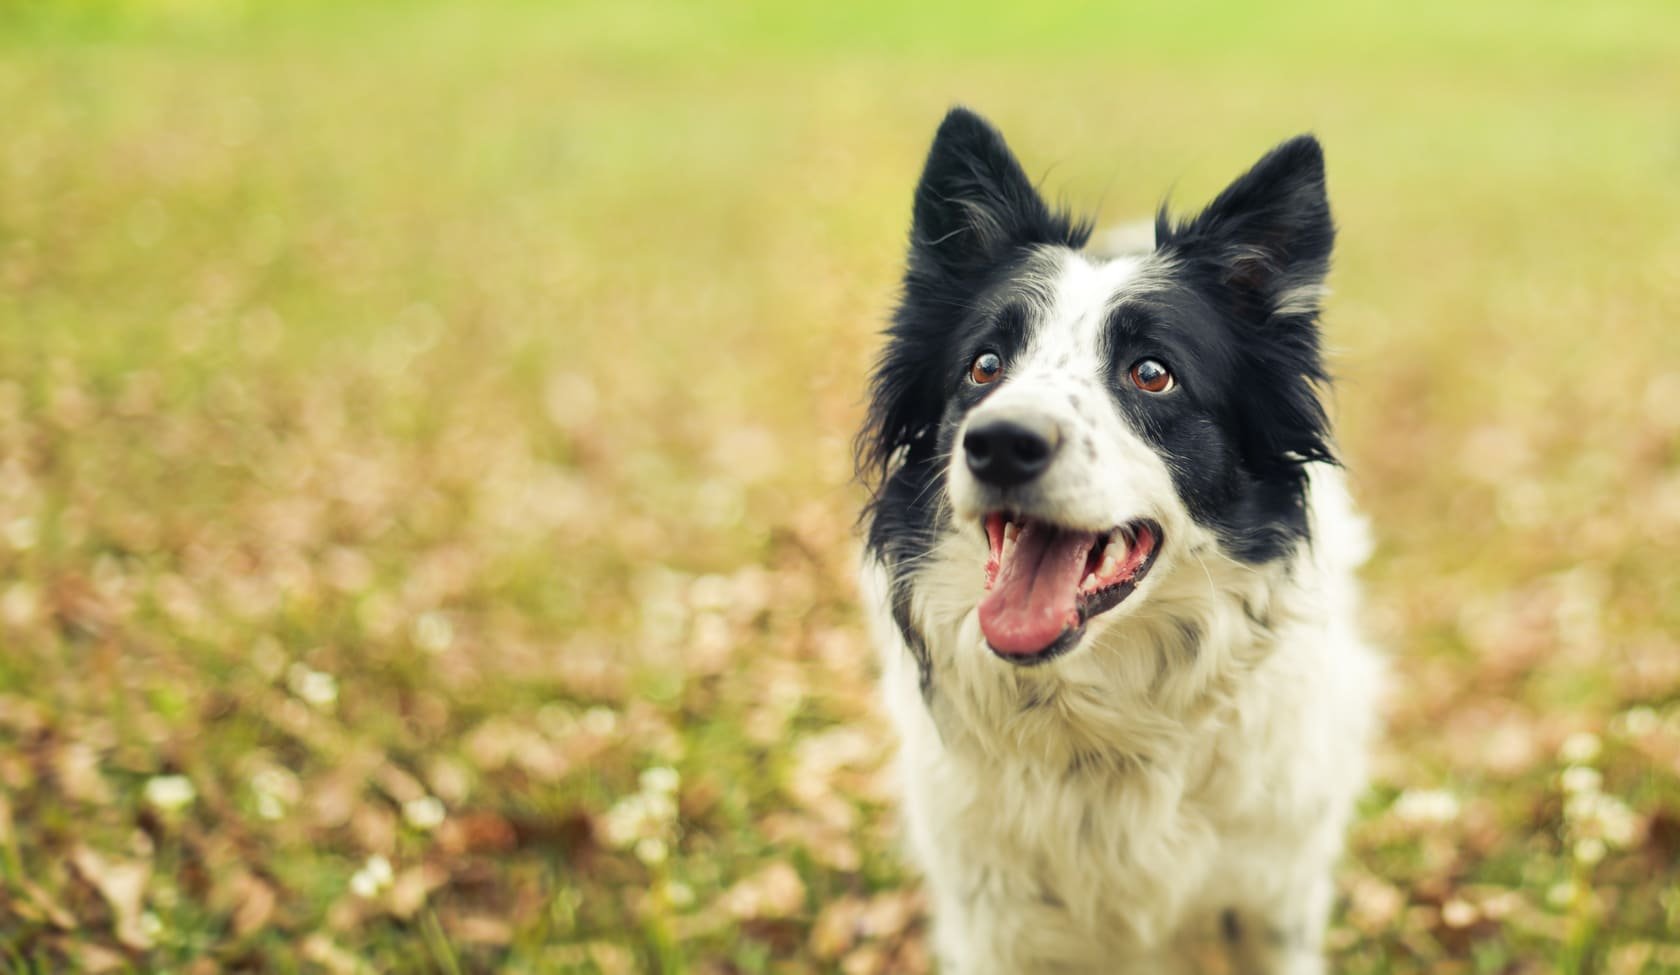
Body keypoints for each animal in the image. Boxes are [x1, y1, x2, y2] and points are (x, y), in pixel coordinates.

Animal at [860, 110, 1384, 968]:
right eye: (984, 366)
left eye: (1152, 373)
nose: (1000, 443)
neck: (1104, 724)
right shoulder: (990, 921)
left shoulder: (1272, 902)